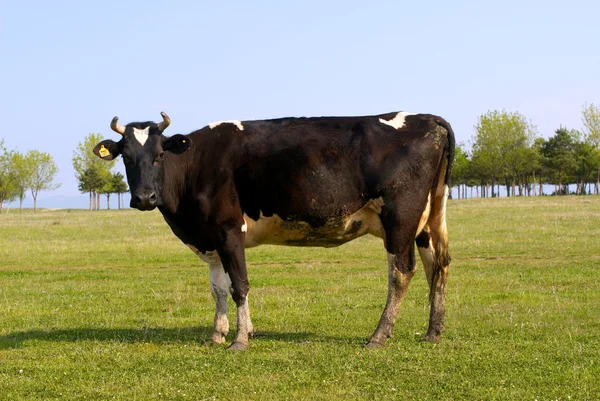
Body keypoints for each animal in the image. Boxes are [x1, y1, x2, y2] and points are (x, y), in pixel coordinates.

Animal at [95, 111, 454, 348]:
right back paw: (432, 333)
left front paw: (240, 339)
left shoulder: (228, 230)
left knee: (401, 272)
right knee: (437, 266)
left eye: (159, 155)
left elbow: (239, 285)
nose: (144, 197)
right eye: (126, 157)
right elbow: (219, 288)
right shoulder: (211, 238)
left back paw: (379, 335)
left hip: (400, 218)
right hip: (427, 220)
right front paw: (218, 334)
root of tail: (426, 117)